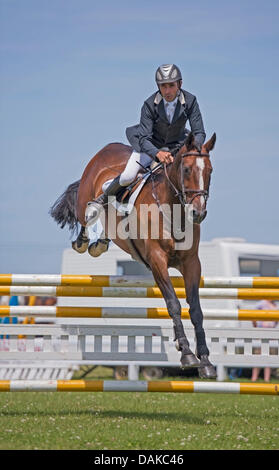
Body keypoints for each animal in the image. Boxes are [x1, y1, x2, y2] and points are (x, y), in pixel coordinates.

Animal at [49, 131, 217, 378]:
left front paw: (205, 361)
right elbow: (173, 304)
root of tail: (107, 148)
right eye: (186, 170)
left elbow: (195, 309)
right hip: (85, 200)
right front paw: (186, 353)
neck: (171, 209)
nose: (198, 213)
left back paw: (100, 243)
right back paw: (84, 240)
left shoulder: (191, 263)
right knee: (86, 214)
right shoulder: (157, 260)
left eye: (209, 171)